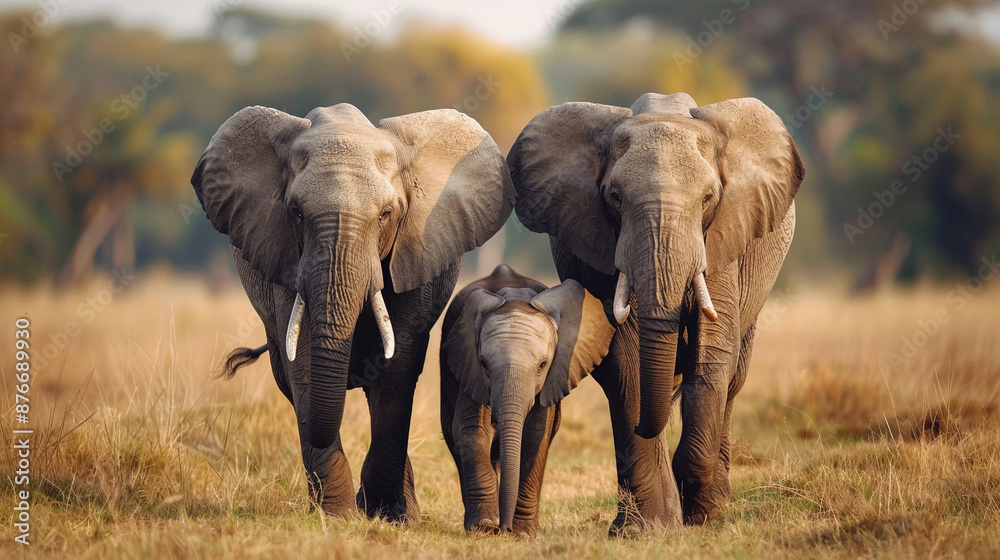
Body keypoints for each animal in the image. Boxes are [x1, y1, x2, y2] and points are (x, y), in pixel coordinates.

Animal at [191, 103, 514, 521]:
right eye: (296, 213)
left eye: (386, 214)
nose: (359, 505)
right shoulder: (286, 258)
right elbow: (304, 365)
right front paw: (337, 515)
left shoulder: (413, 252)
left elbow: (398, 367)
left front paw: (381, 512)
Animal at [439, 264, 615, 536]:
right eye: (484, 364)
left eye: (542, 365)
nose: (505, 528)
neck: (514, 297)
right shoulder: (469, 367)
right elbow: (472, 431)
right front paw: (485, 528)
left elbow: (535, 435)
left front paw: (522, 533)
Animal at [507, 93, 803, 530]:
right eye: (614, 197)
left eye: (709, 199)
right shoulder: (599, 246)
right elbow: (625, 360)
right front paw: (645, 528)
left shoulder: (721, 239)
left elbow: (714, 352)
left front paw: (697, 509)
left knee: (734, 378)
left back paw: (713, 505)